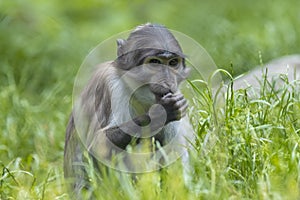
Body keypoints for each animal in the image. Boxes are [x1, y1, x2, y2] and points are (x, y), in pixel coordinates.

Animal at [64, 23, 193, 197]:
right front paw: (161, 113)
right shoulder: (113, 85)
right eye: (154, 62)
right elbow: (98, 145)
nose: (168, 82)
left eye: (173, 63)